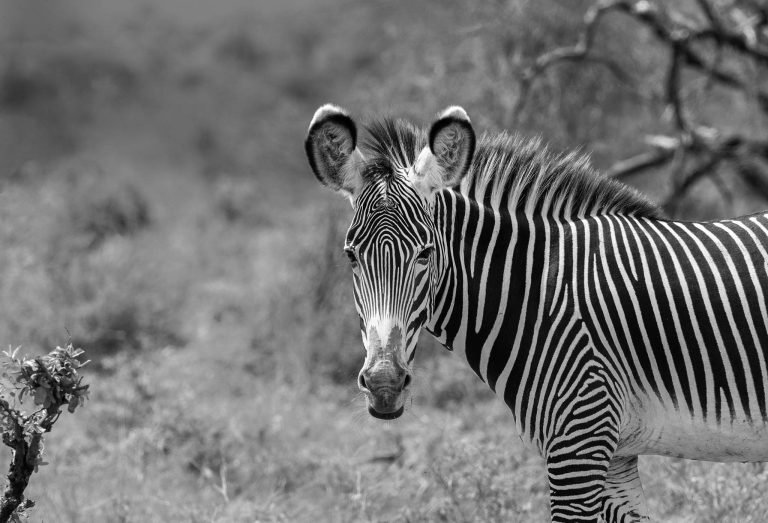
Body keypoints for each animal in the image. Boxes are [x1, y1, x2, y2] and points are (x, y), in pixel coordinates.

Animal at [304, 103, 768, 522]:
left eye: (426, 253)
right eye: (350, 256)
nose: (383, 385)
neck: (536, 293)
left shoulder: (578, 442)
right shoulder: (616, 454)